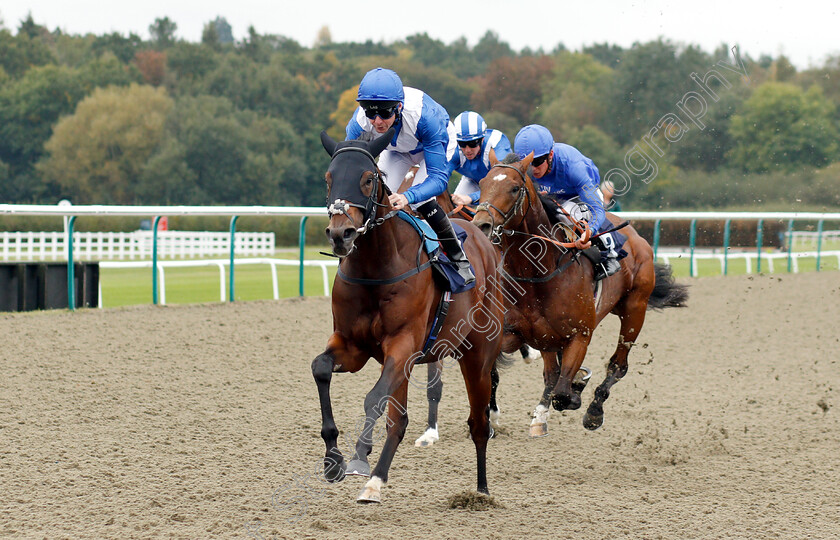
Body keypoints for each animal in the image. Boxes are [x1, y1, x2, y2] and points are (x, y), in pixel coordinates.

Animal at [312, 129, 502, 504]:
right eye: (328, 177)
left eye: (368, 179)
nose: (341, 235)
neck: (376, 268)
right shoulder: (352, 346)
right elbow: (321, 369)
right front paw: (333, 459)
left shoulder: (403, 345)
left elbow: (373, 399)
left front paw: (357, 455)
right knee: (398, 423)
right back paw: (375, 482)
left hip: (477, 355)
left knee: (479, 423)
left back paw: (481, 491)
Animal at [470, 150, 684, 436]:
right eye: (482, 184)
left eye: (514, 188)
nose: (481, 225)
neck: (537, 272)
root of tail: (635, 235)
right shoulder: (513, 332)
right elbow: (494, 372)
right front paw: (491, 421)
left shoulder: (579, 335)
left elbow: (563, 393)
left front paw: (578, 388)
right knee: (552, 373)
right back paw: (541, 416)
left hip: (634, 310)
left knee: (618, 365)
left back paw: (593, 410)